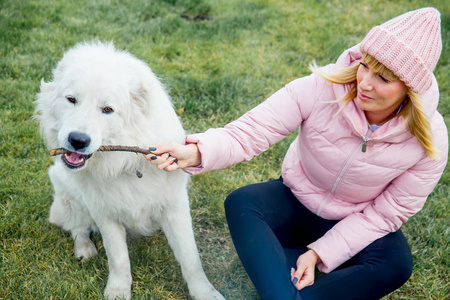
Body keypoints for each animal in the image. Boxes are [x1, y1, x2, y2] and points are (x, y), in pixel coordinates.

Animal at [34, 42, 225, 300]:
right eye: (71, 99)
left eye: (107, 109)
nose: (78, 140)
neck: (123, 161)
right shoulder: (104, 212)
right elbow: (119, 259)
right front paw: (118, 291)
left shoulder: (175, 207)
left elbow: (190, 258)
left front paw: (205, 292)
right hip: (67, 191)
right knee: (77, 226)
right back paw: (84, 249)